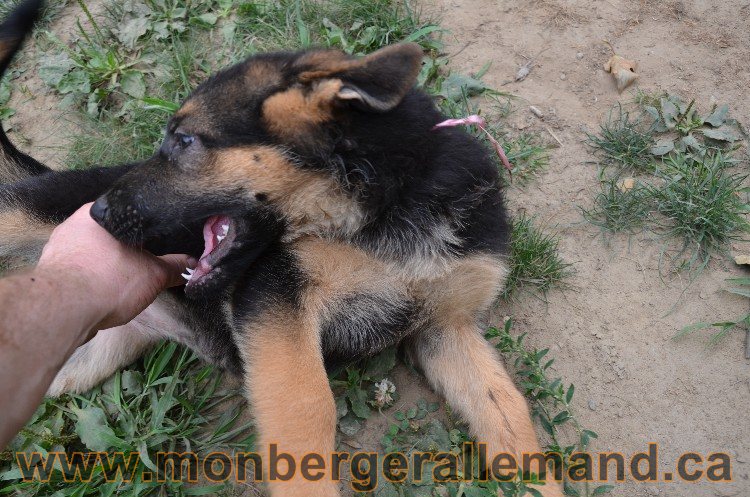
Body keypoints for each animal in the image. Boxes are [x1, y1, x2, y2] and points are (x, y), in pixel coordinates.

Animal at [1, 1, 564, 494]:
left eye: (183, 141)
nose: (94, 214)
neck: (390, 203)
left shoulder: (445, 326)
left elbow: (507, 412)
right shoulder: (276, 298)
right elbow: (306, 408)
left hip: (72, 361)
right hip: (18, 219)